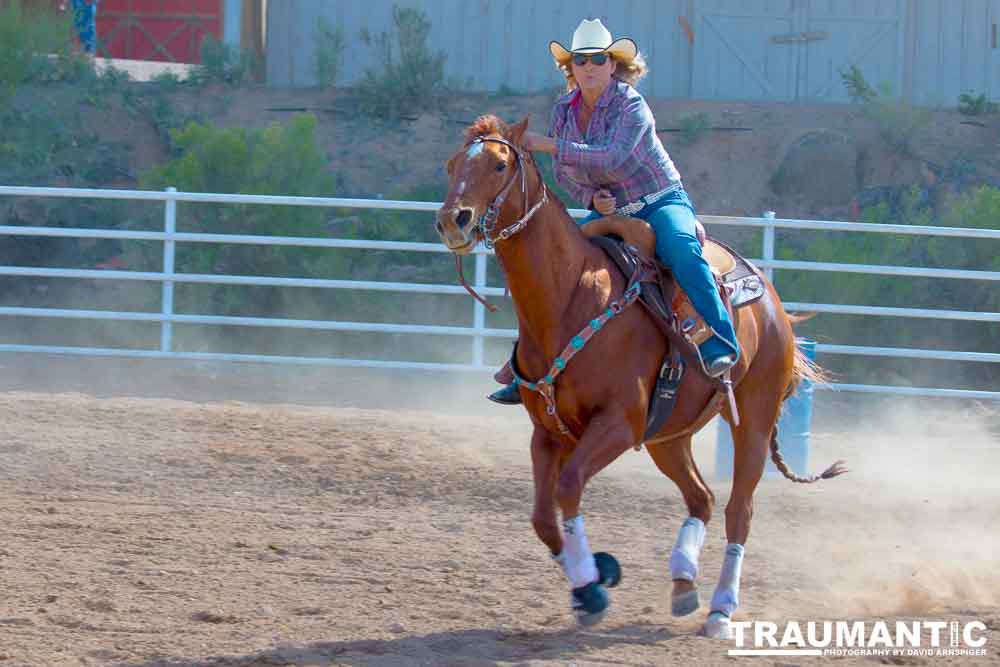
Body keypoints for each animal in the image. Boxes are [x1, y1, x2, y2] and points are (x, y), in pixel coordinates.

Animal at [436, 117, 844, 640]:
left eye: (499, 164)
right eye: (452, 165)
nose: (453, 220)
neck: (571, 297)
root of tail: (772, 302)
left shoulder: (618, 423)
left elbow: (568, 488)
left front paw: (593, 586)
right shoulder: (547, 432)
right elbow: (544, 519)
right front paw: (594, 578)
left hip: (751, 419)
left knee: (739, 510)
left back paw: (721, 608)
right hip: (668, 437)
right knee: (702, 498)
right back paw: (683, 580)